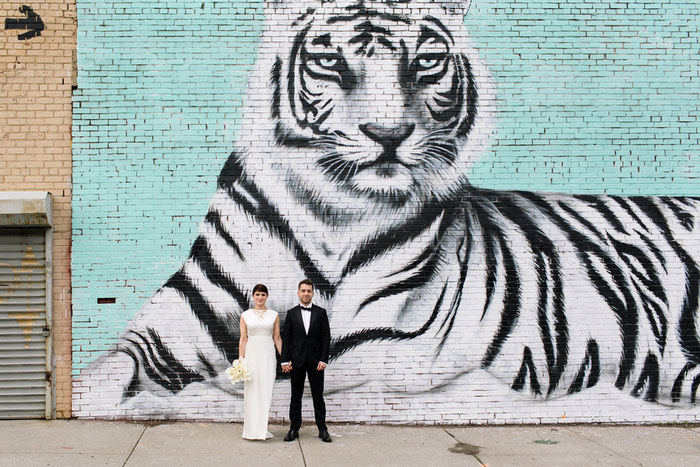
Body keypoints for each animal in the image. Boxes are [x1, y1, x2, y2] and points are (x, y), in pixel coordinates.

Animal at [75, 0, 700, 416]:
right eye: (330, 61)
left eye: (425, 62)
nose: (389, 134)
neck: (330, 212)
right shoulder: (175, 318)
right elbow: (109, 366)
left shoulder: (390, 346)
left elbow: (275, 376)